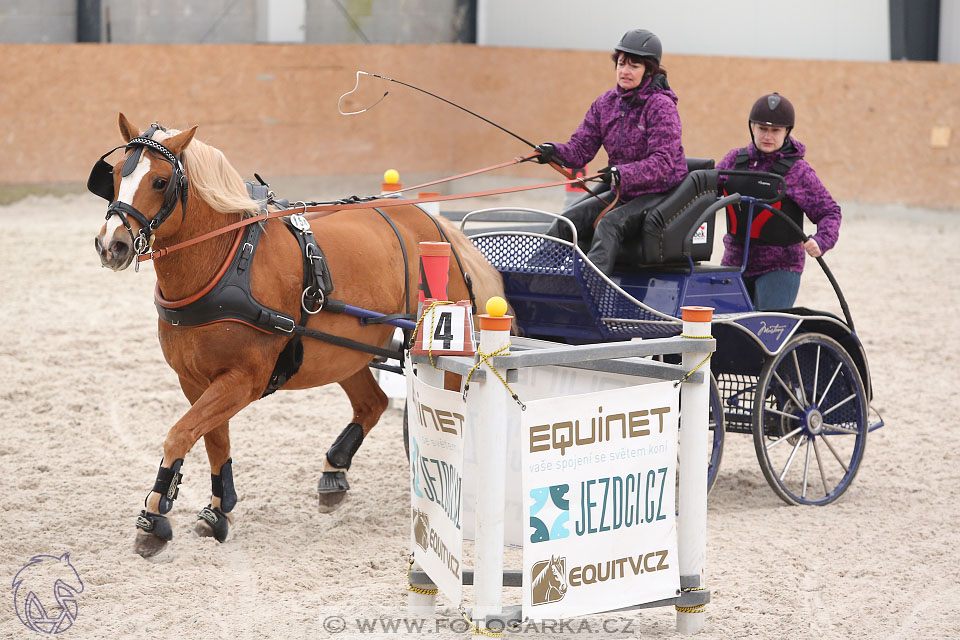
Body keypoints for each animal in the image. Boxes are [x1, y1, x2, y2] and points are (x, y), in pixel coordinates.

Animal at [93, 115, 506, 560]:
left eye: (160, 181)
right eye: (115, 176)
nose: (112, 244)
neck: (226, 263)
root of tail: (436, 226)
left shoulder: (243, 380)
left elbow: (180, 434)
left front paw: (153, 517)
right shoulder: (194, 379)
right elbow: (213, 441)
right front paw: (218, 512)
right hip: (344, 352)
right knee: (372, 402)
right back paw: (334, 471)